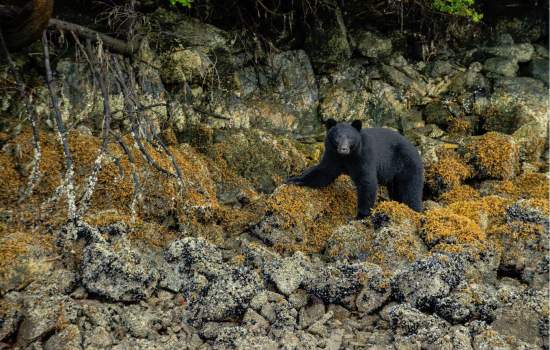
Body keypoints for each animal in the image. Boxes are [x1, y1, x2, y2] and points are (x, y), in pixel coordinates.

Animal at [286, 120, 424, 219]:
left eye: (349, 137)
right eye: (338, 137)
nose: (343, 148)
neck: (347, 157)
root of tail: (415, 149)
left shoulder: (364, 156)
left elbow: (366, 181)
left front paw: (360, 215)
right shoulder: (333, 156)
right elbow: (323, 172)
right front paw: (294, 180)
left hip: (407, 165)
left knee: (411, 190)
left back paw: (414, 210)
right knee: (397, 190)